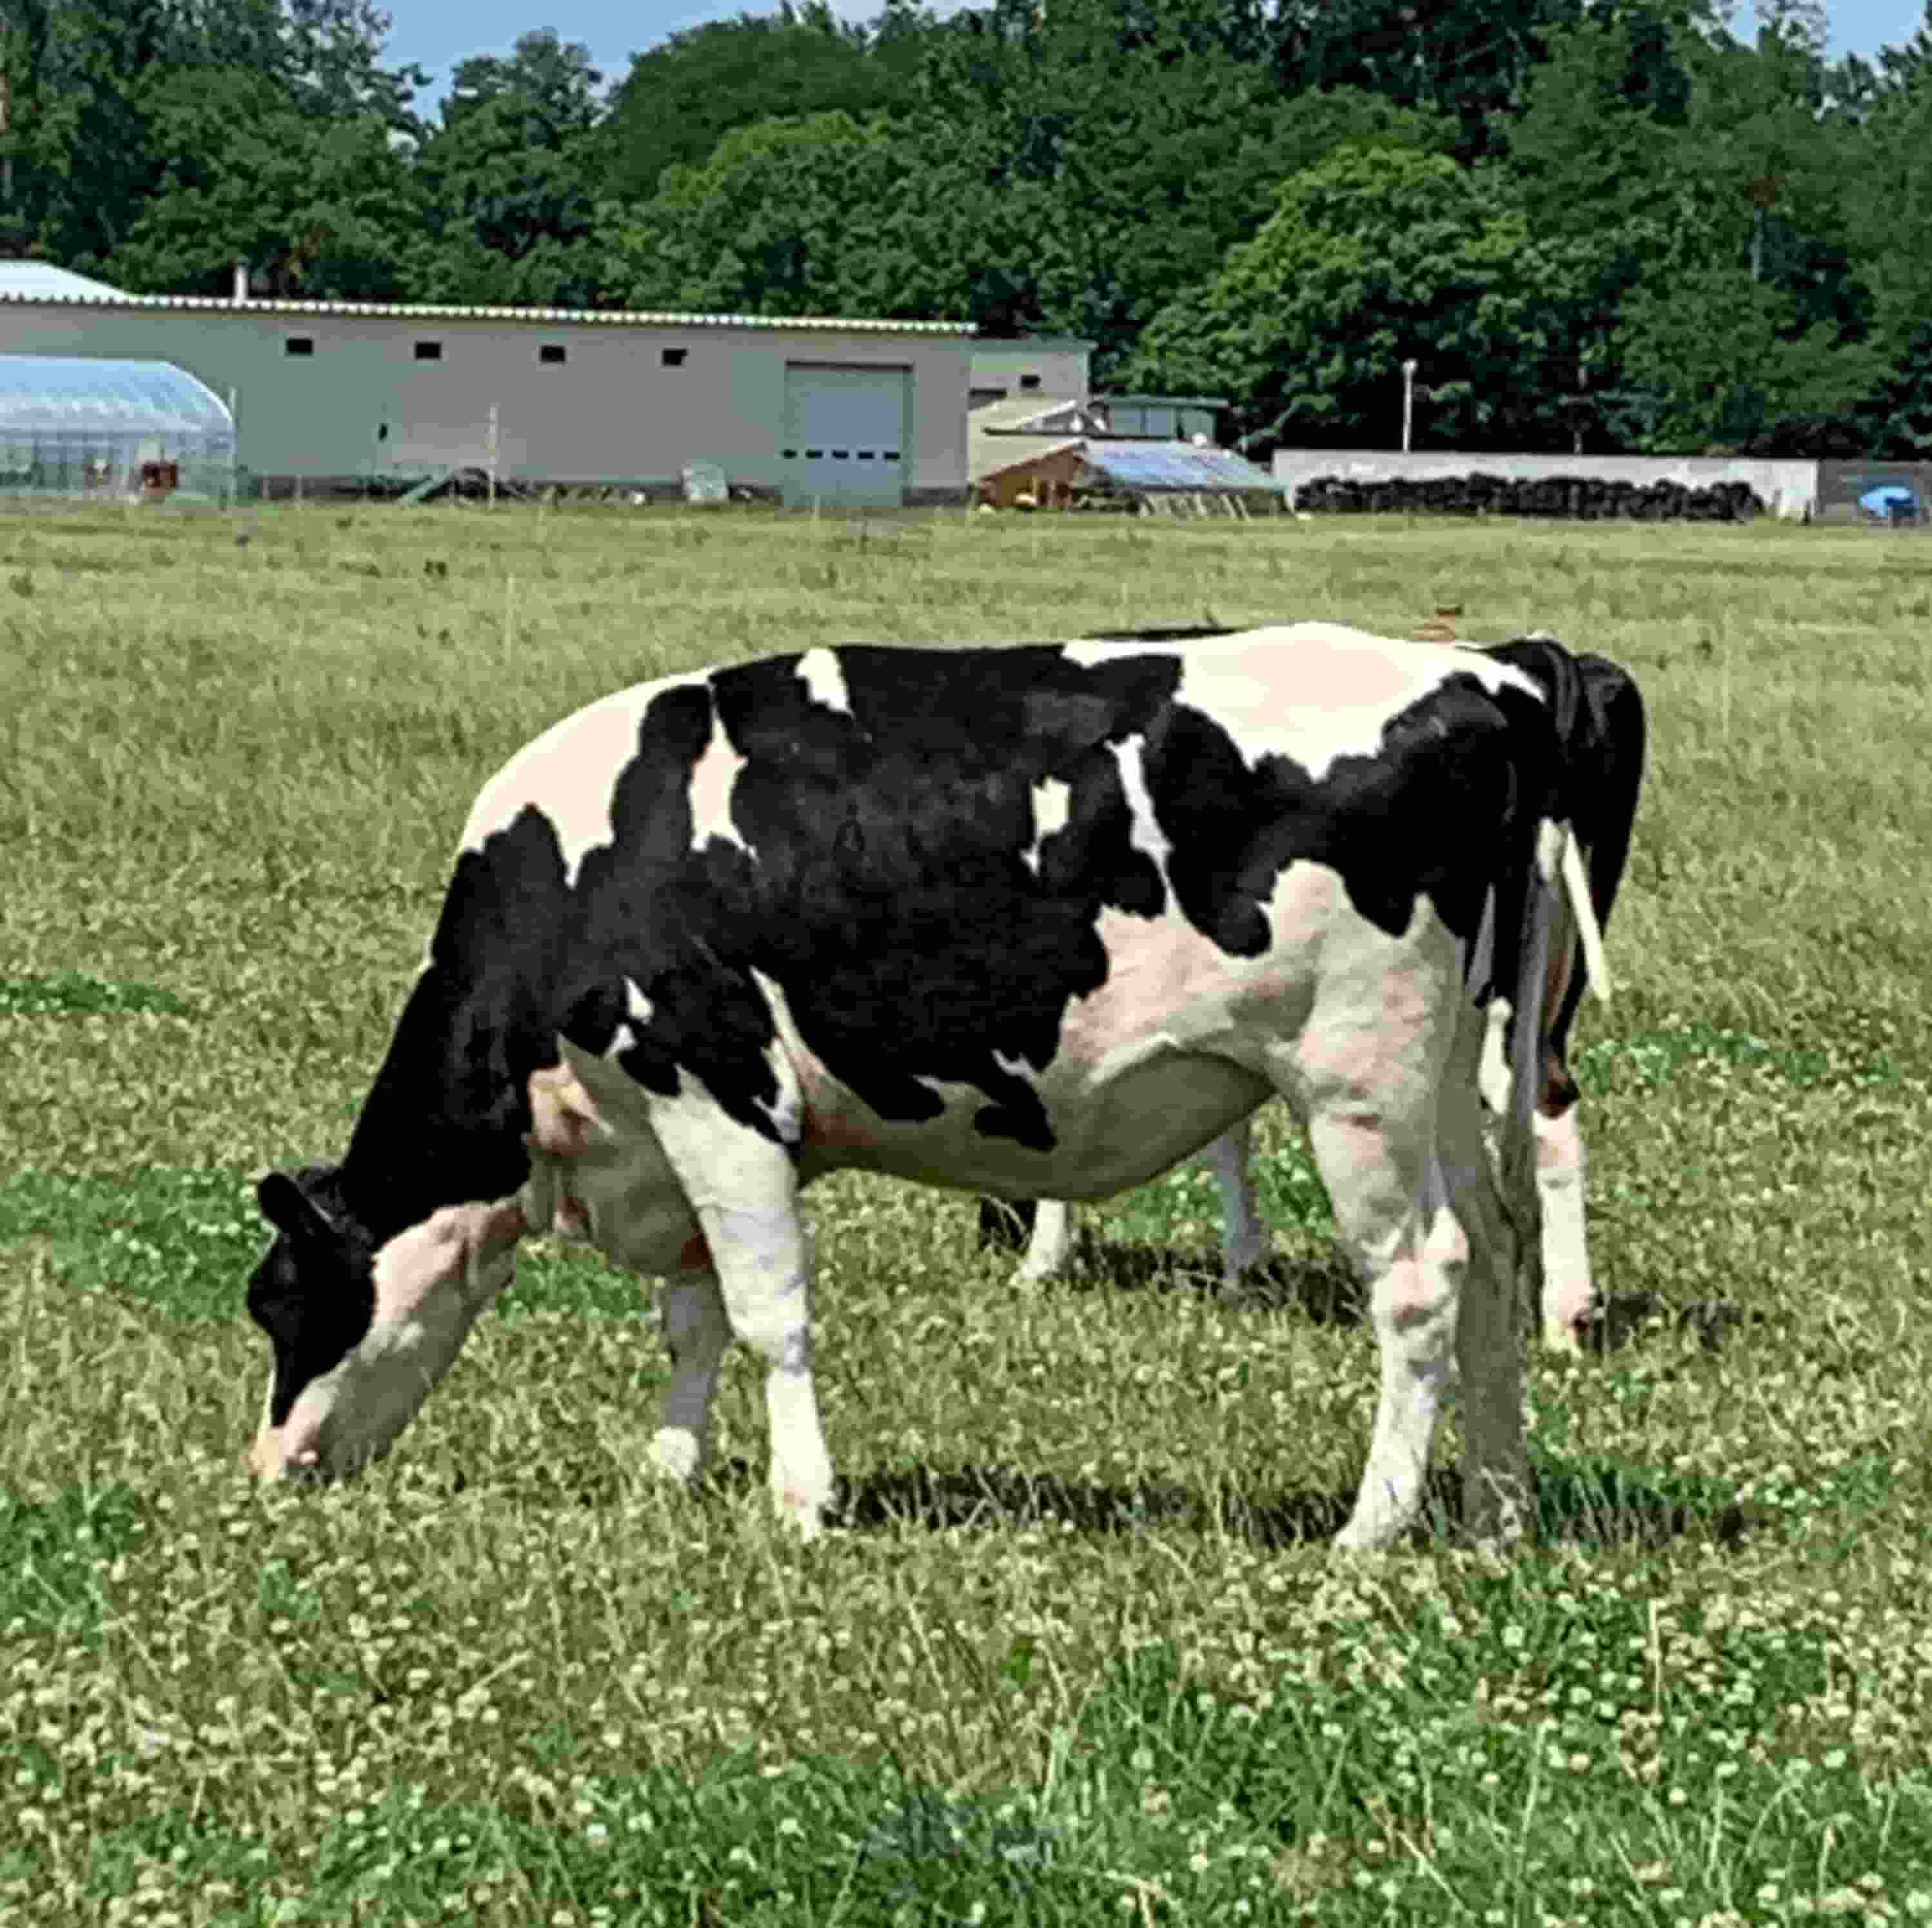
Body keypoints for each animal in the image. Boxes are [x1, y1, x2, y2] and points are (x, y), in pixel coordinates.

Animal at [996, 633, 1646, 1360]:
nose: (993, 1227)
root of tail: (1533, 657)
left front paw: (1044, 1259)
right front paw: (1242, 1268)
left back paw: (1560, 1317)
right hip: (1544, 990)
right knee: (1548, 1104)